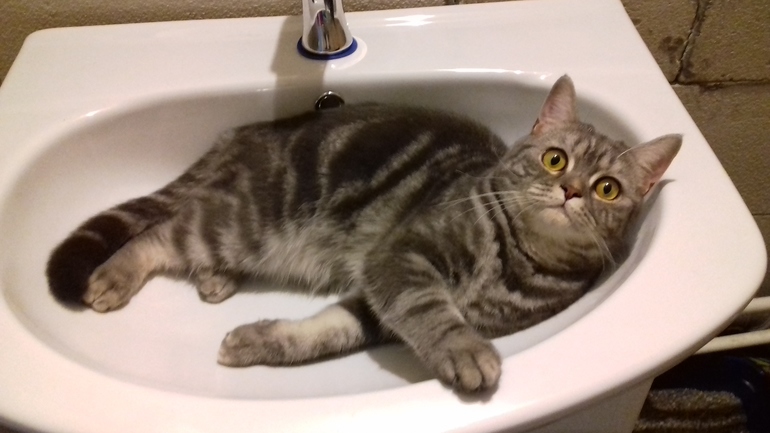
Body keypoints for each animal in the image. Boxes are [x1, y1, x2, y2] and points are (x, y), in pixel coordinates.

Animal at [46, 75, 681, 393]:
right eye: (555, 160)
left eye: (607, 189)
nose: (571, 191)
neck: (513, 260)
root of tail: (243, 132)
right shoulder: (401, 260)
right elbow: (433, 313)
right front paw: (466, 351)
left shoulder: (376, 304)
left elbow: (322, 333)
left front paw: (257, 342)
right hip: (251, 223)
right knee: (162, 232)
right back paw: (115, 276)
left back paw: (214, 278)